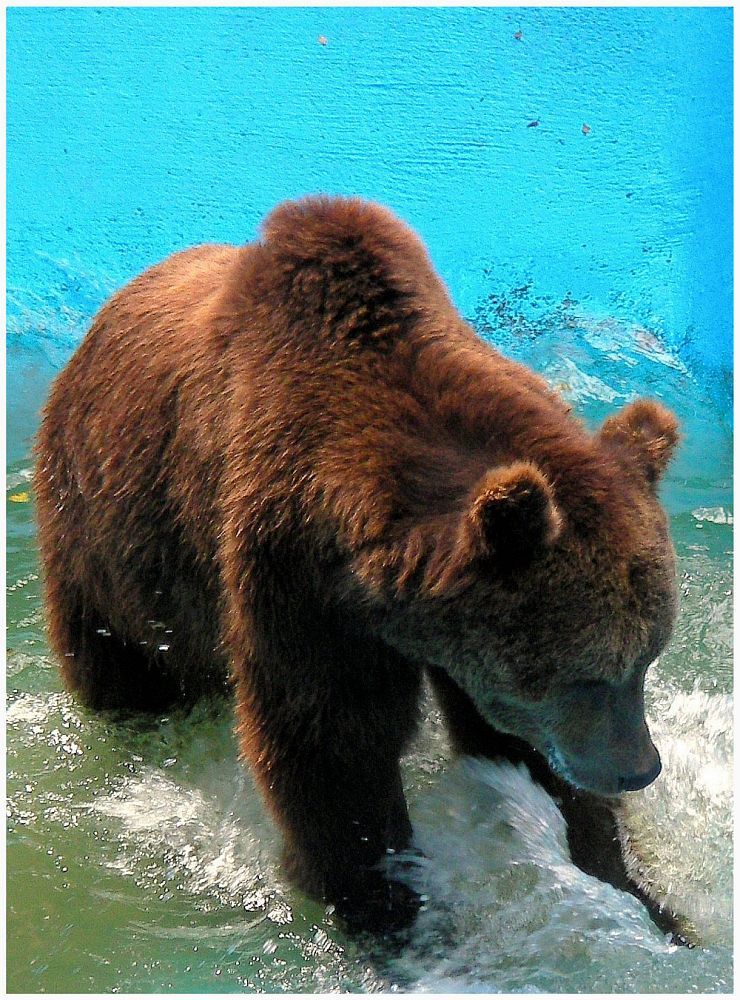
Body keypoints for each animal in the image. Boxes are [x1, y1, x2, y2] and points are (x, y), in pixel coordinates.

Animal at [31, 199, 684, 940]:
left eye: (646, 659)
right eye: (589, 676)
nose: (639, 769)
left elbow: (510, 741)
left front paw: (645, 896)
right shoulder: (295, 574)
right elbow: (330, 749)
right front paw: (388, 909)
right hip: (102, 543)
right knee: (123, 669)